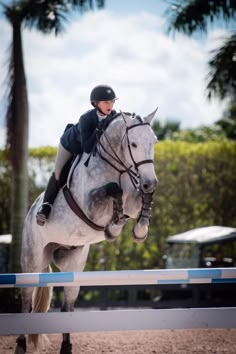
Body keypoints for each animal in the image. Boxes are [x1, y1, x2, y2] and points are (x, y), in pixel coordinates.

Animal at [14, 109, 159, 352]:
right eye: (134, 144)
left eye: (154, 141)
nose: (151, 182)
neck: (118, 167)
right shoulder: (91, 207)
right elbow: (114, 190)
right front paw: (114, 228)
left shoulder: (133, 198)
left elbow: (139, 199)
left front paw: (139, 230)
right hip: (32, 262)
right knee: (25, 302)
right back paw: (21, 345)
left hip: (72, 263)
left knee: (67, 307)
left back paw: (66, 347)